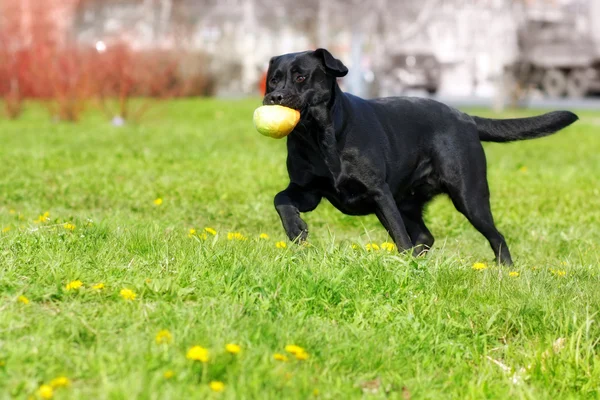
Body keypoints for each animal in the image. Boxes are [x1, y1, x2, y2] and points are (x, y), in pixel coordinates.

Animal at [264, 48, 580, 264]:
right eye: (273, 80)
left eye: (301, 76)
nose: (274, 97)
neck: (321, 138)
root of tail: (465, 117)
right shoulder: (308, 191)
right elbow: (280, 199)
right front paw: (296, 230)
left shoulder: (379, 193)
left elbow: (399, 234)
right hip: (409, 201)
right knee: (425, 235)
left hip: (470, 196)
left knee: (496, 235)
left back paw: (506, 269)